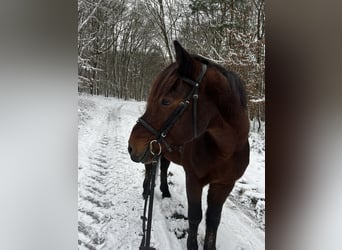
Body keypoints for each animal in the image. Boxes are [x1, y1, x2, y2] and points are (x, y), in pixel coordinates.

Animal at [127, 41, 248, 250]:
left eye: (166, 101)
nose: (132, 146)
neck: (225, 150)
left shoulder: (224, 184)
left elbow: (213, 219)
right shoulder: (193, 180)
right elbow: (195, 216)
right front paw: (192, 245)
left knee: (163, 168)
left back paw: (165, 192)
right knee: (150, 170)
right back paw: (146, 191)